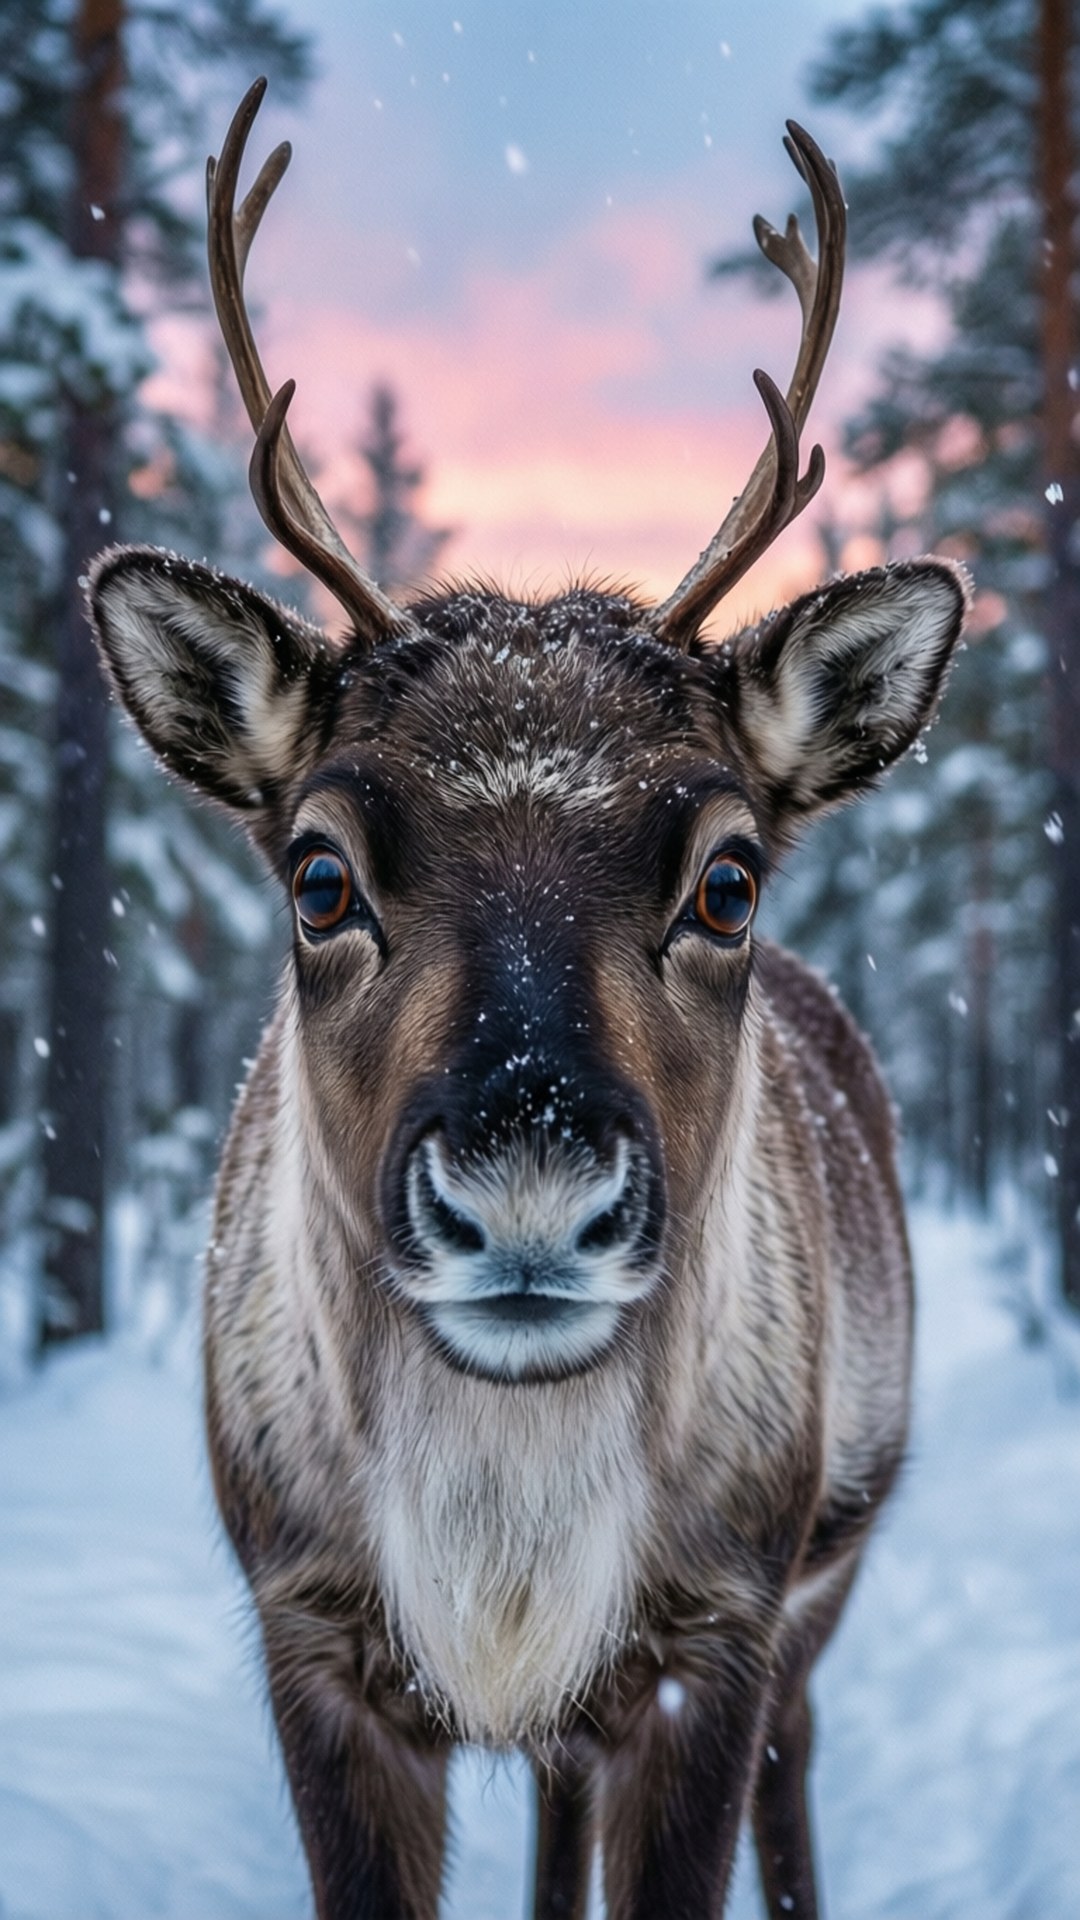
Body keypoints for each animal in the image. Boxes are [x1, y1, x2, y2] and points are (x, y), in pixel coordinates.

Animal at [88, 79, 968, 1920]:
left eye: (727, 877)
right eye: (320, 874)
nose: (530, 1191)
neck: (503, 1573)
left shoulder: (717, 1631)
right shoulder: (314, 1636)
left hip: (830, 1572)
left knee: (797, 1774)